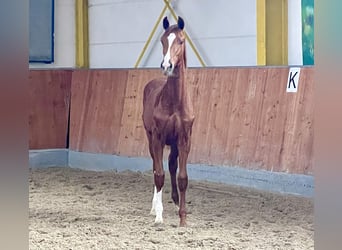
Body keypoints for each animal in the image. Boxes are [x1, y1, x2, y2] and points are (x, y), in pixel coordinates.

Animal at [142, 16, 195, 227]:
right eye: (162, 41)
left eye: (180, 41)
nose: (167, 66)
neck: (174, 102)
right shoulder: (157, 137)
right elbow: (159, 174)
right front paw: (158, 215)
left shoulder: (184, 139)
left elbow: (182, 177)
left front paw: (183, 218)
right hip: (151, 139)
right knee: (155, 167)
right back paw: (153, 207)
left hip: (172, 143)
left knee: (172, 165)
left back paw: (174, 200)